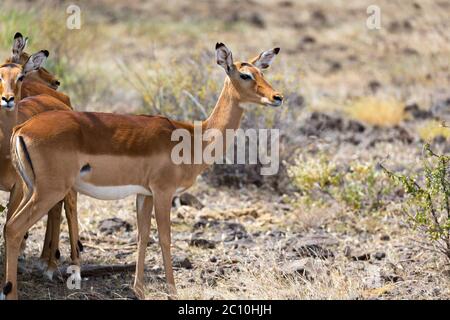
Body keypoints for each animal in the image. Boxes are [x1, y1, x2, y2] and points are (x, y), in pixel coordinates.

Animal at [3, 43, 284, 300]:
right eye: (245, 75)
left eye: (261, 71)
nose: (277, 97)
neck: (194, 138)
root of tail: (22, 128)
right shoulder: (163, 192)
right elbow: (165, 238)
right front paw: (173, 291)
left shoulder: (144, 194)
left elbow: (142, 236)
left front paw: (138, 289)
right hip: (49, 191)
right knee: (15, 228)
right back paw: (13, 292)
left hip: (31, 189)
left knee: (9, 226)